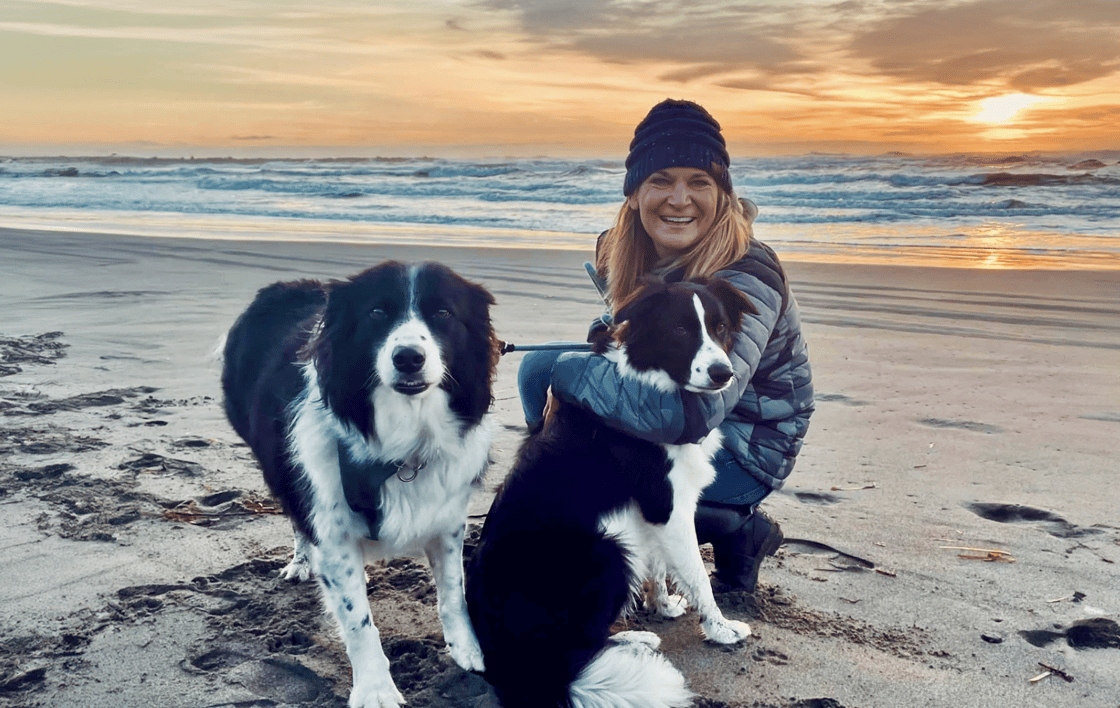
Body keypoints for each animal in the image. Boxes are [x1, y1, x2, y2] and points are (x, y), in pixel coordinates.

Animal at [220, 259, 497, 708]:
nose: (408, 357)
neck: (402, 446)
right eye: (377, 314)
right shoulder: (331, 524)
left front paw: (467, 650)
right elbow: (358, 621)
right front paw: (375, 689)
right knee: (297, 518)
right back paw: (302, 562)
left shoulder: (447, 518)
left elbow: (453, 593)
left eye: (443, 313)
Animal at [463, 275, 761, 708]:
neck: (655, 378)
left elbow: (660, 567)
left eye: (720, 328)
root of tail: (512, 663)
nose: (724, 373)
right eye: (680, 330)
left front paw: (664, 605)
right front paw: (721, 630)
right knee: (579, 649)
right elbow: (698, 576)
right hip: (609, 547)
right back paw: (633, 641)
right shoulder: (668, 506)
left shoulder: (652, 515)